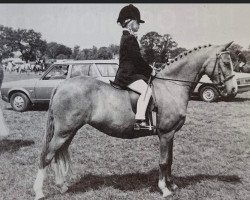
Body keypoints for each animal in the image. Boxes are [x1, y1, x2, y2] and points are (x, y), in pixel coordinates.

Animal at [33, 41, 238, 199]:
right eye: (226, 62)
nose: (234, 89)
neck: (172, 86)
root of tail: (62, 84)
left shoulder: (171, 134)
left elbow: (170, 160)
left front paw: (172, 185)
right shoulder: (165, 134)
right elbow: (163, 161)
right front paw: (164, 189)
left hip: (69, 131)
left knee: (58, 154)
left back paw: (62, 186)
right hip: (64, 131)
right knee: (47, 156)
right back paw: (39, 192)